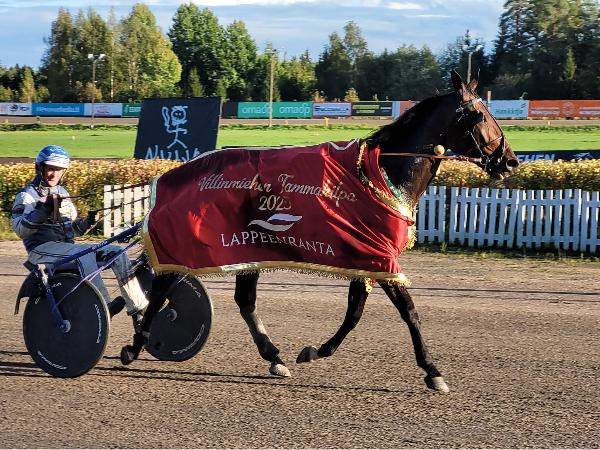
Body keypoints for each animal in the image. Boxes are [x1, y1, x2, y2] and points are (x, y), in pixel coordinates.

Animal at [120, 70, 519, 393]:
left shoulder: (366, 257)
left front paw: (314, 351)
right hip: (200, 246)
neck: (383, 171)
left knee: (244, 300)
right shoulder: (380, 257)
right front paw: (432, 370)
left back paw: (273, 356)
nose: (511, 161)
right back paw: (136, 345)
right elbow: (408, 311)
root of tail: (176, 174)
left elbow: (354, 313)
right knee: (163, 288)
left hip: (245, 248)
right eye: (481, 115)